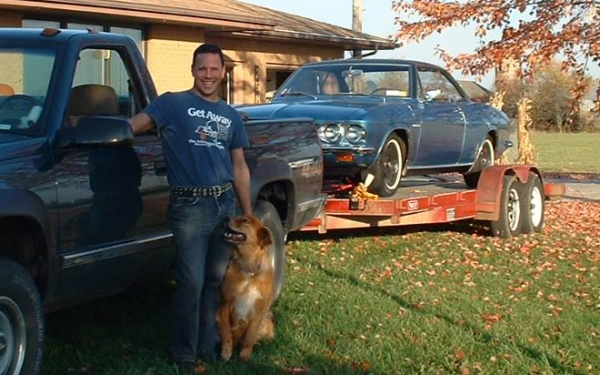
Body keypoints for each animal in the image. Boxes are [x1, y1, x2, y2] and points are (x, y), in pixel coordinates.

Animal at [218, 216, 276, 362]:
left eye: (245, 221)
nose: (226, 217)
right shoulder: (225, 302)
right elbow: (226, 331)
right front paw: (226, 351)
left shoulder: (260, 310)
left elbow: (250, 336)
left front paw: (245, 355)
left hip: (267, 318)